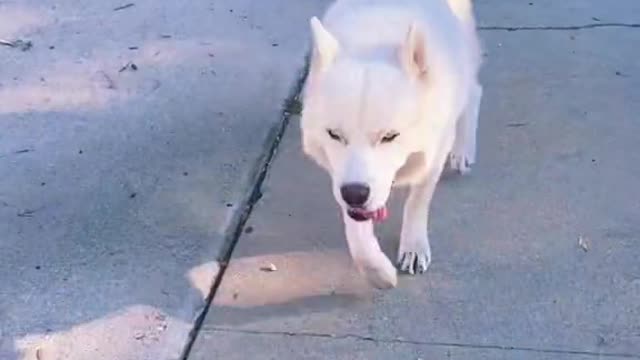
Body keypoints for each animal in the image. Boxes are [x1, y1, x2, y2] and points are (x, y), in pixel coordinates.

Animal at [298, 0, 480, 288]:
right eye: (334, 135)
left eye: (390, 136)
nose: (355, 194)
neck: (374, 38)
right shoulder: (344, 178)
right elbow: (357, 232)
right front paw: (378, 272)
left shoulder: (435, 151)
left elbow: (417, 201)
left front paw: (413, 246)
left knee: (474, 89)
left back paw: (464, 149)